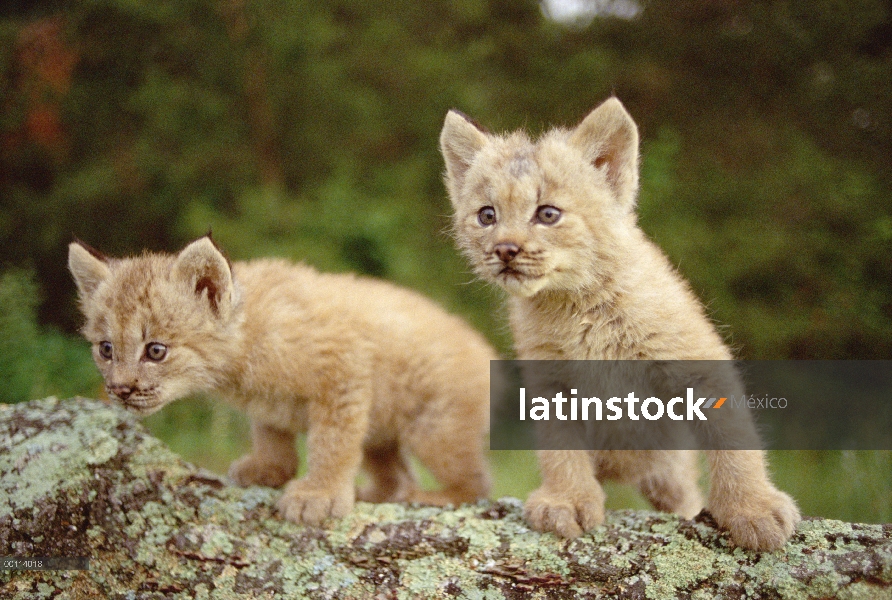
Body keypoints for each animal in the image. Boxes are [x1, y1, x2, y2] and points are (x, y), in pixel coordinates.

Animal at [68, 236, 494, 524]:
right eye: (106, 349)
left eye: (156, 350)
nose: (120, 389)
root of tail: (482, 344)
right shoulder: (269, 402)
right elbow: (270, 431)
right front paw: (270, 469)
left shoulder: (343, 369)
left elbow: (331, 443)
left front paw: (318, 494)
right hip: (380, 429)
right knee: (397, 470)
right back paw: (378, 494)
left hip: (434, 428)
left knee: (478, 483)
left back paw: (434, 497)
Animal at [442, 97, 796, 548]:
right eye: (487, 216)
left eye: (548, 214)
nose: (504, 250)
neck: (575, 302)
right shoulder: (549, 380)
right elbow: (559, 444)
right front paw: (566, 499)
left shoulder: (697, 360)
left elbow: (733, 436)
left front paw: (751, 507)